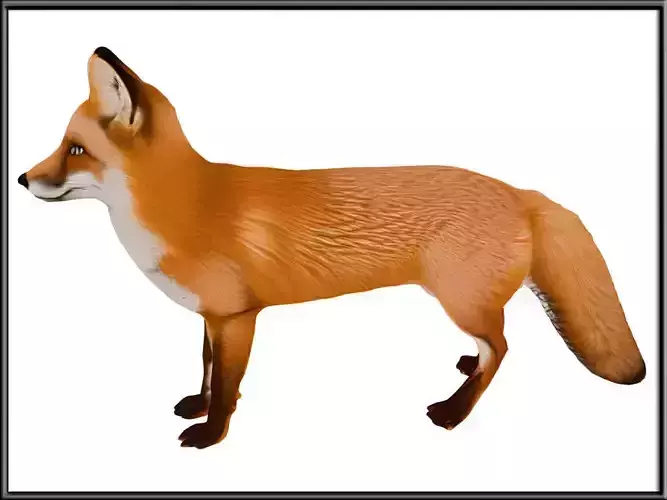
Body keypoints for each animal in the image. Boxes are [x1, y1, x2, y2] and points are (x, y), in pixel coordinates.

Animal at [18, 47, 646, 449]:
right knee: (495, 348)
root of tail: (520, 191)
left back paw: (454, 412)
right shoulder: (212, 318)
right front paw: (199, 405)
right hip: (470, 304)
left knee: (504, 349)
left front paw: (212, 435)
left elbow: (227, 386)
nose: (23, 179)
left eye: (75, 150)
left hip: (459, 300)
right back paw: (467, 371)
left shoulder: (239, 317)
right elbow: (206, 372)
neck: (184, 204)